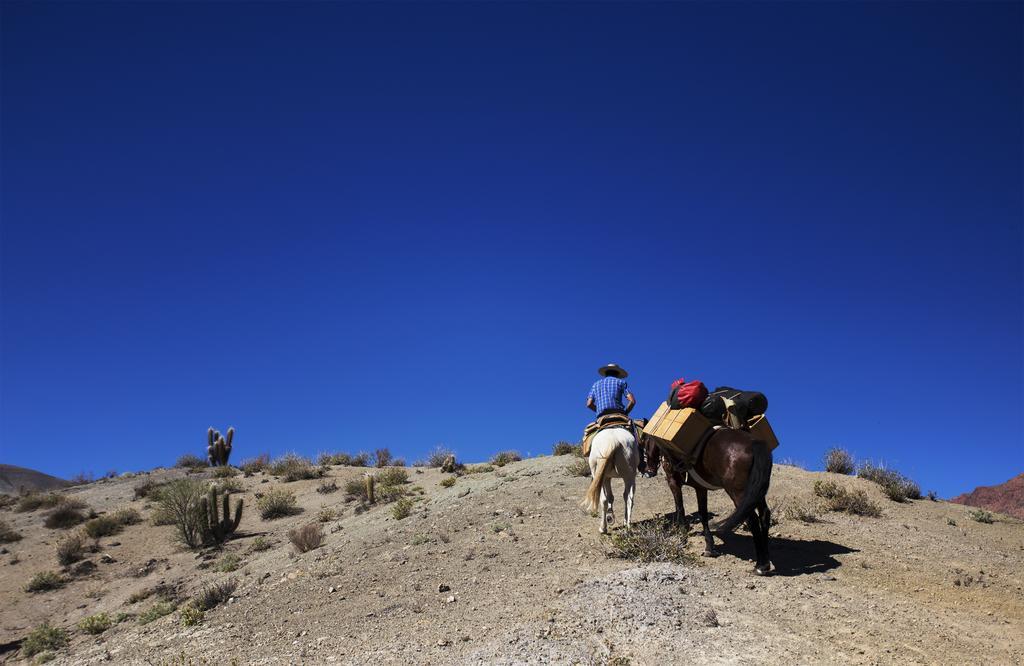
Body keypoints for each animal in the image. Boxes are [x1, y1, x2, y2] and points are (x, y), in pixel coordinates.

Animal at [643, 426, 770, 573]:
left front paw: (682, 537)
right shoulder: (700, 488)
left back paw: (760, 566)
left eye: (646, 442)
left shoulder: (673, 482)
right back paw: (766, 561)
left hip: (738, 492)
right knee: (764, 514)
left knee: (752, 519)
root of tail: (754, 443)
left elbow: (680, 508)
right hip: (757, 491)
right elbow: (702, 514)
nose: (649, 470)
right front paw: (709, 547)